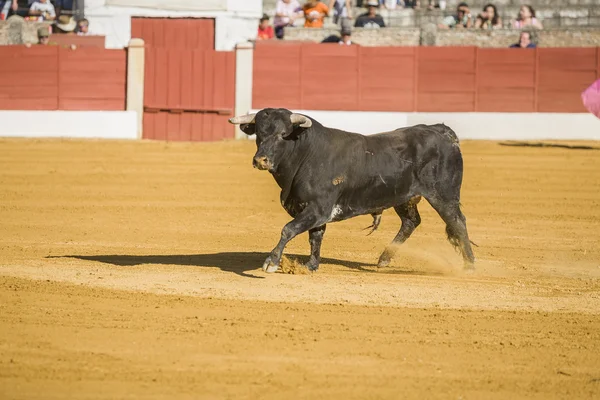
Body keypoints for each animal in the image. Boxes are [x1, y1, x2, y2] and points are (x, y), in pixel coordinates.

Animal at [227, 108, 476, 274]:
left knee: (457, 222)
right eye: (258, 134)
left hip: (444, 195)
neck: (306, 153)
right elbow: (315, 236)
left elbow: (289, 229)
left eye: (282, 134)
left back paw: (469, 265)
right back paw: (384, 259)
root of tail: (441, 131)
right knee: (411, 222)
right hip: (402, 197)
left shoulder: (318, 208)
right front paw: (311, 265)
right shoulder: (314, 211)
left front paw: (272, 262)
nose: (261, 160)